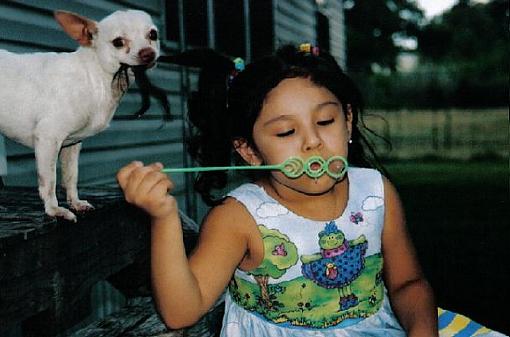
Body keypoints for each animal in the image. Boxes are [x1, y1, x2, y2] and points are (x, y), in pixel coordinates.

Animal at [0, 9, 160, 220]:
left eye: (153, 35)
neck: (94, 77)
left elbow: (71, 176)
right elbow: (49, 181)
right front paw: (54, 209)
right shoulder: (48, 139)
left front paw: (75, 202)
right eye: (118, 42)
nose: (148, 53)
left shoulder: (72, 145)